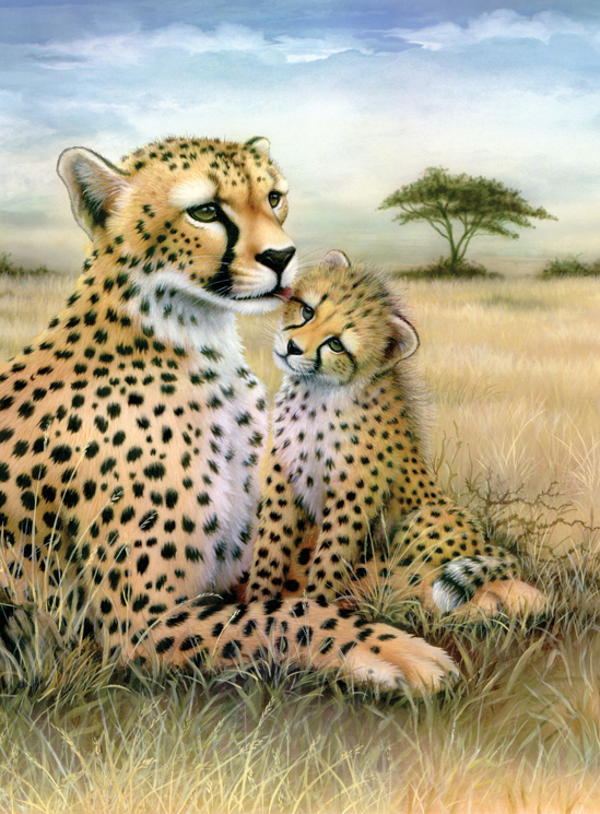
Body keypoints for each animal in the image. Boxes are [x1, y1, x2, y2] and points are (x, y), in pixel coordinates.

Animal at [0, 136, 458, 694]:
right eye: (205, 211)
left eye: (274, 197)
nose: (282, 256)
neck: (194, 340)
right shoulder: (136, 624)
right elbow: (283, 616)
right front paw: (392, 649)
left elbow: (315, 577)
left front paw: (483, 585)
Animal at [246, 250, 548, 619]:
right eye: (307, 311)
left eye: (336, 345)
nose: (292, 347)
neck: (317, 392)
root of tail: (485, 542)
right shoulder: (284, 478)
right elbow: (271, 544)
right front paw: (258, 600)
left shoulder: (353, 495)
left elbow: (331, 557)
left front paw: (313, 607)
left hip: (426, 518)